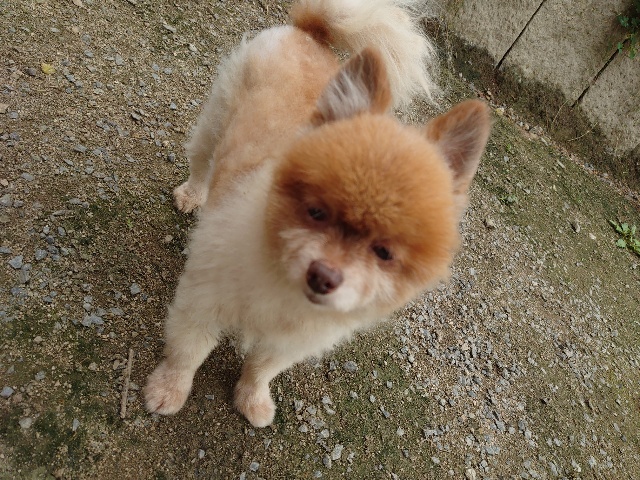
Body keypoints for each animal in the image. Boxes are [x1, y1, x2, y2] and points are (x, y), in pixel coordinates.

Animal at [144, 0, 491, 428]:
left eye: (384, 253)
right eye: (315, 211)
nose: (324, 275)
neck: (281, 280)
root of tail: (312, 34)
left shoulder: (292, 340)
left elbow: (262, 367)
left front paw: (253, 400)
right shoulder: (203, 302)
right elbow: (187, 352)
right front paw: (168, 391)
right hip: (218, 115)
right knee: (201, 156)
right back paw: (192, 194)